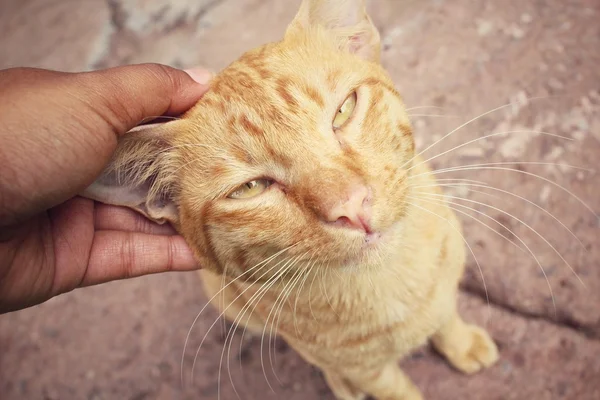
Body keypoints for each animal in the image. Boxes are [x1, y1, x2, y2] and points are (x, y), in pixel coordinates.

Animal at [82, 0, 500, 396]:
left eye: (344, 110)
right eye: (250, 188)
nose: (351, 207)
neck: (391, 281)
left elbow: (445, 318)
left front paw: (462, 343)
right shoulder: (366, 370)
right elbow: (394, 389)